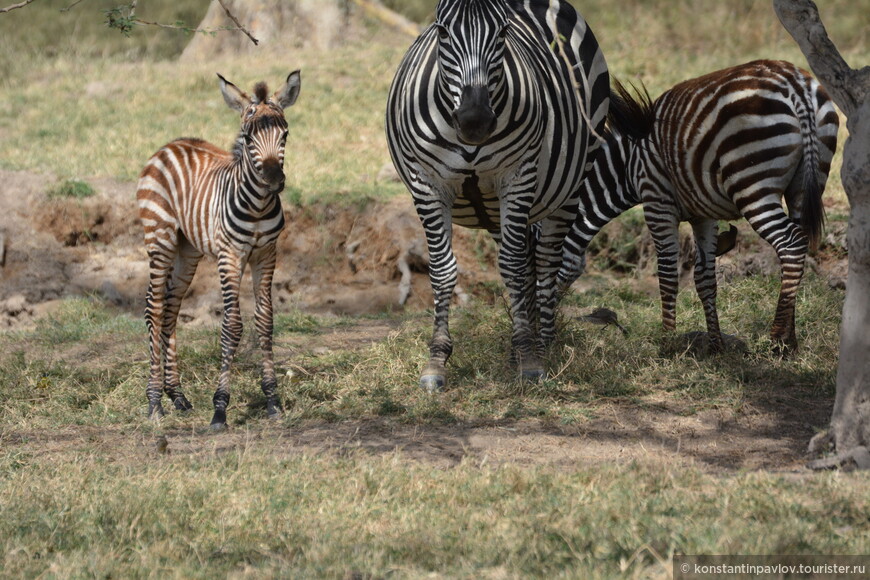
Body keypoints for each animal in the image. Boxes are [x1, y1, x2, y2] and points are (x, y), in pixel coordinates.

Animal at [135, 71, 300, 426]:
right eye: (248, 138)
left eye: (285, 134)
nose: (273, 180)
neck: (257, 206)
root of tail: (171, 144)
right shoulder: (230, 256)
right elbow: (232, 325)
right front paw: (220, 407)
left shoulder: (266, 255)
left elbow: (265, 321)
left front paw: (273, 400)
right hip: (160, 237)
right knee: (154, 307)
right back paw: (154, 402)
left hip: (188, 250)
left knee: (171, 307)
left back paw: (176, 395)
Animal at [388, 0, 612, 392]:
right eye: (442, 31)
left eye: (504, 31)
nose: (474, 121)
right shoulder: (427, 183)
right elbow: (442, 269)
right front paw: (436, 360)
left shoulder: (517, 177)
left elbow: (512, 266)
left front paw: (529, 359)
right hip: (493, 208)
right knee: (530, 259)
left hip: (568, 187)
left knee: (546, 260)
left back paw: (543, 344)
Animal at [560, 62, 836, 354]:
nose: (555, 329)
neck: (626, 166)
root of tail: (796, 86)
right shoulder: (703, 215)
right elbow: (704, 277)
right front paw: (715, 345)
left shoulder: (657, 201)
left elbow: (667, 274)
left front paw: (667, 345)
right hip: (807, 183)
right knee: (799, 245)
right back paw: (791, 339)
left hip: (753, 183)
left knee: (791, 244)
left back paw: (778, 340)